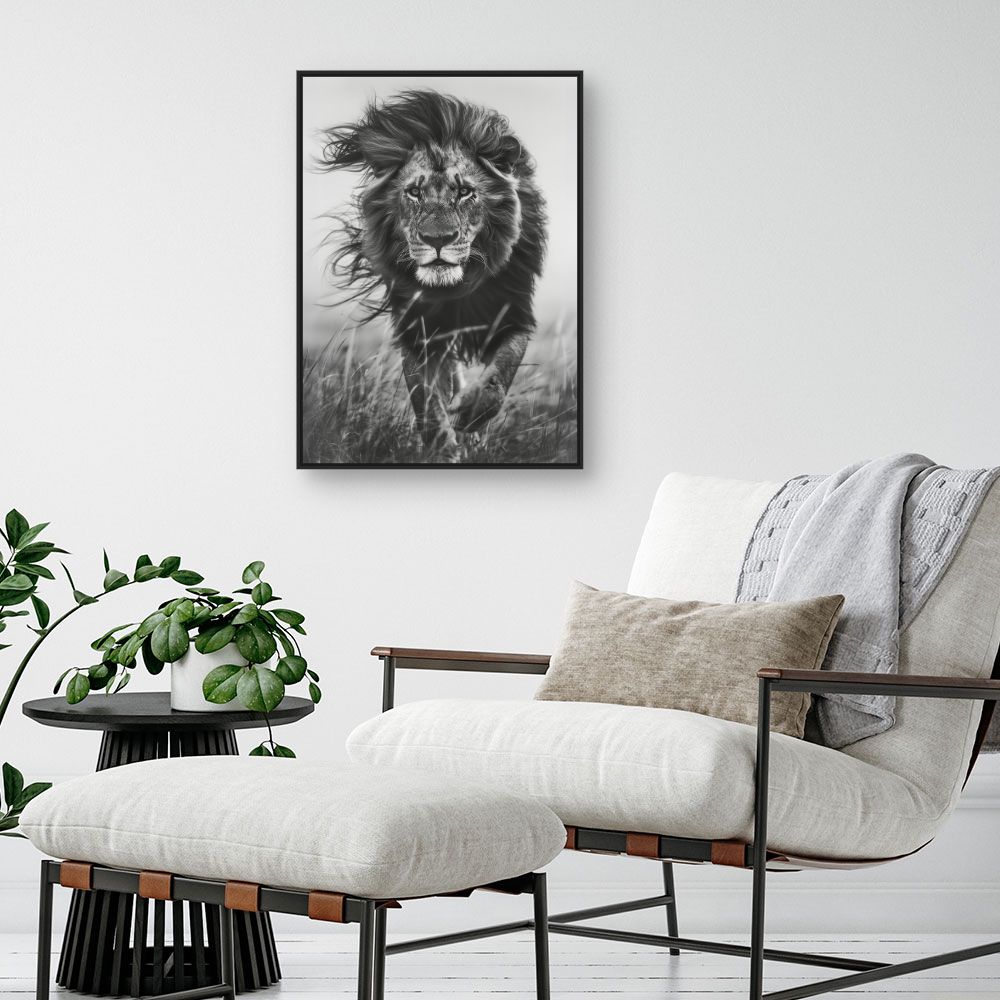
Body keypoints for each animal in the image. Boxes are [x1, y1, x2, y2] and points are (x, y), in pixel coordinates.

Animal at [318, 89, 548, 462]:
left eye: (465, 191)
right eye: (414, 192)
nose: (437, 240)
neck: (453, 289)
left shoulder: (512, 314)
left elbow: (499, 378)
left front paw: (470, 417)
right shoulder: (417, 328)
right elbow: (425, 399)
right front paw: (442, 448)